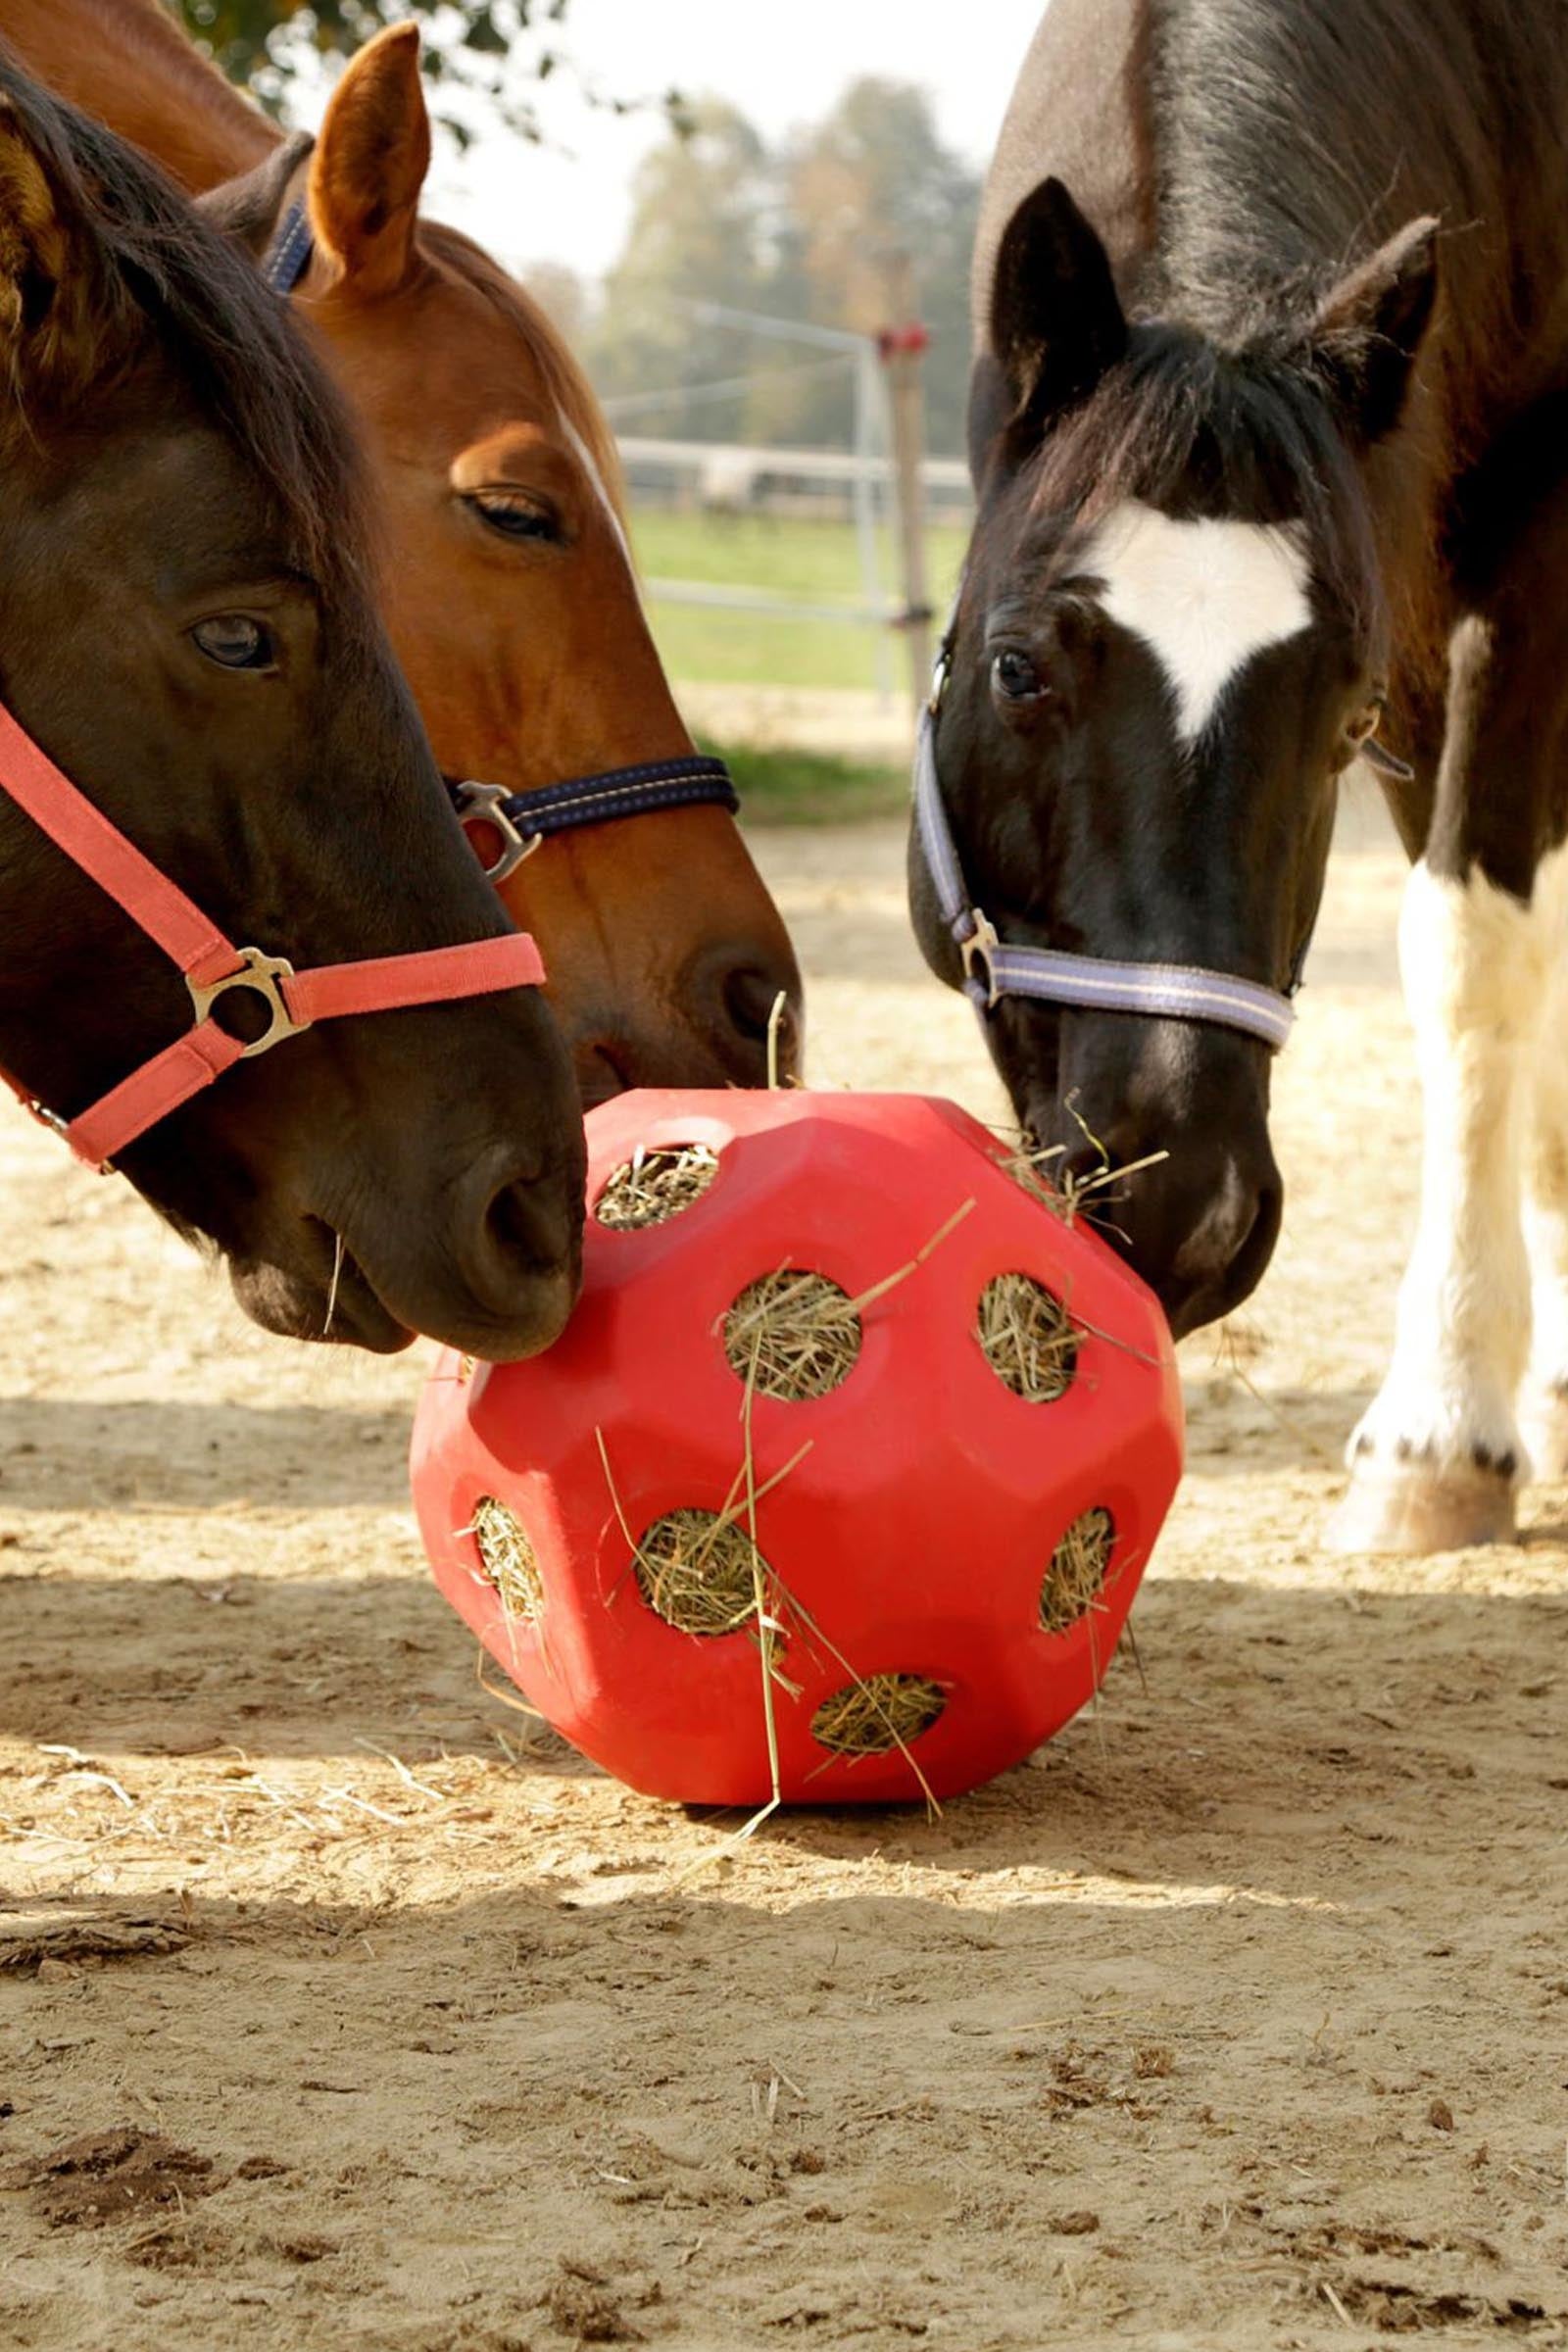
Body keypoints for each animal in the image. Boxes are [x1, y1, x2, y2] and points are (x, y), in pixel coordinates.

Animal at [911, 0, 1568, 1554]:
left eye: (1341, 715)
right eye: (1017, 669)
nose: (1184, 1207)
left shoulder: (1519, 564)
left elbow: (1477, 961)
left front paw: (1441, 1432)